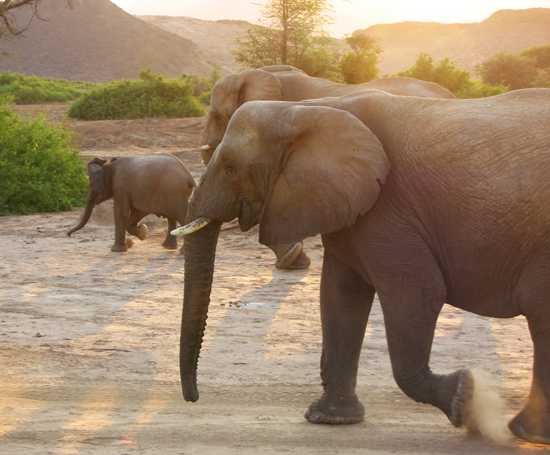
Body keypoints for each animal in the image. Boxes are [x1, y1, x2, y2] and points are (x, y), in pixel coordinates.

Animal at [176, 90, 550, 446]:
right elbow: (340, 296)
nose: (193, 399)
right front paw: (330, 419)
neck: (309, 108)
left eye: (229, 167)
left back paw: (525, 432)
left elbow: (418, 292)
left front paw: (466, 401)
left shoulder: (391, 209)